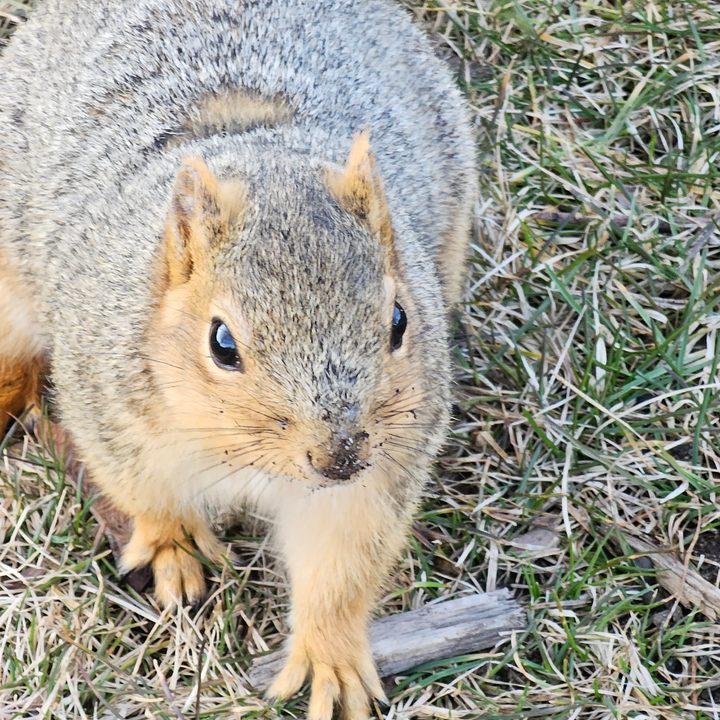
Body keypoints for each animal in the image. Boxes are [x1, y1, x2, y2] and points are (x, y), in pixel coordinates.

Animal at [0, 1, 477, 718]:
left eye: (399, 320)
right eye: (222, 344)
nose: (338, 456)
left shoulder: (375, 474)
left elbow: (340, 563)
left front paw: (331, 659)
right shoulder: (113, 407)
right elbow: (147, 493)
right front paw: (172, 548)